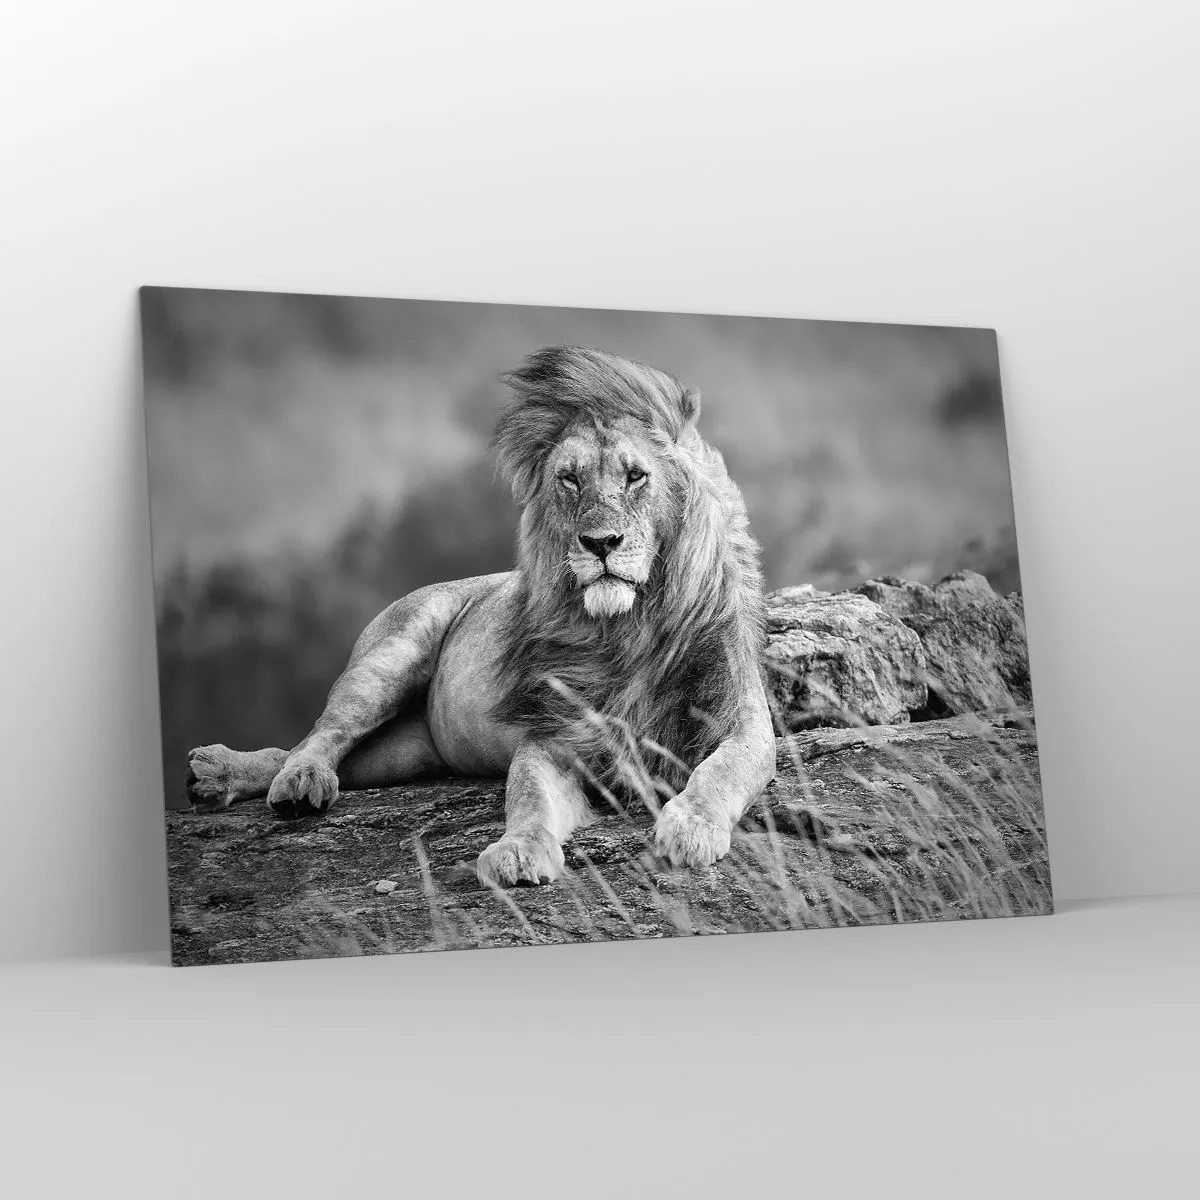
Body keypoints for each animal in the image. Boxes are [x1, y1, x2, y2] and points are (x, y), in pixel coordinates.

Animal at [185, 345, 777, 886]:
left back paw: (219, 776)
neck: (628, 629)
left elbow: (721, 771)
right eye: (569, 480)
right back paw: (285, 780)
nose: (600, 542)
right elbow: (528, 797)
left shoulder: (742, 721)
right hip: (388, 659)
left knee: (327, 755)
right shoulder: (553, 737)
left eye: (636, 476)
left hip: (406, 752)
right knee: (320, 735)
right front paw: (518, 851)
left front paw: (691, 827)